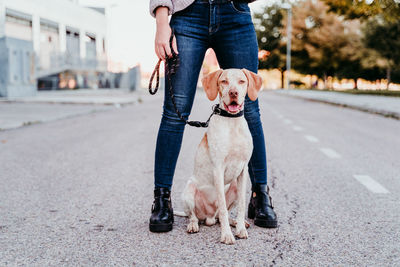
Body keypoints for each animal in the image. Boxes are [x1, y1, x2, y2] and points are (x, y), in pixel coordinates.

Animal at [180, 68, 262, 245]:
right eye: (224, 81)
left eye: (241, 81)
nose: (233, 93)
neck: (232, 123)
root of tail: (209, 217)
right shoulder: (218, 169)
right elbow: (223, 208)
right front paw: (226, 235)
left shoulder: (243, 170)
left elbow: (241, 206)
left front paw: (240, 229)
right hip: (188, 191)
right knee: (194, 216)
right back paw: (193, 225)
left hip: (233, 186)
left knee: (219, 216)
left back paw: (235, 222)